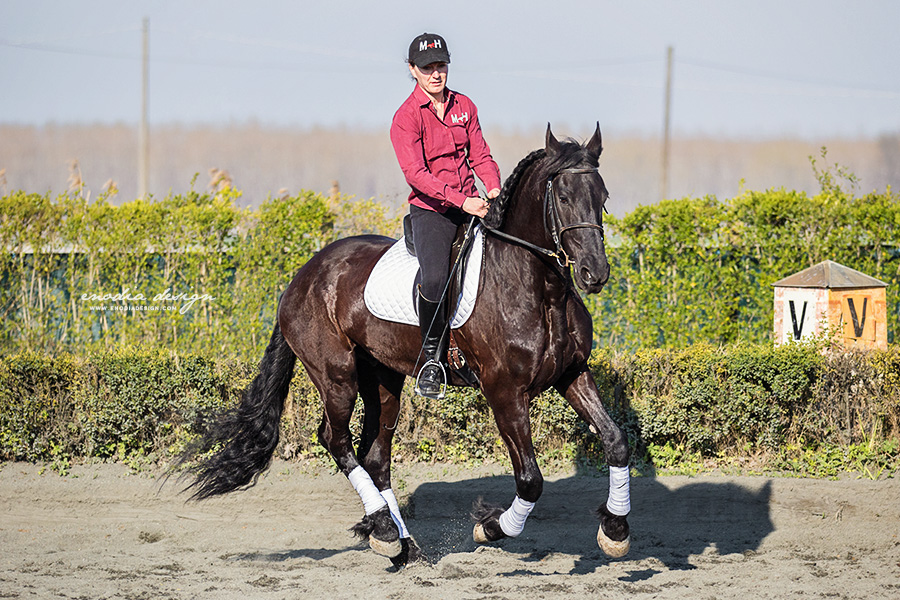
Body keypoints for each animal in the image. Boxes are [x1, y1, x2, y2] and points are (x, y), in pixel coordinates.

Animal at [184, 124, 632, 564]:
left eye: (603, 197)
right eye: (563, 197)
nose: (595, 273)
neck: (542, 289)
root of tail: (303, 275)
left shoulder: (572, 373)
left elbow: (615, 441)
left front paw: (615, 530)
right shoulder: (504, 390)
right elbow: (530, 480)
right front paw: (490, 527)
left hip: (383, 378)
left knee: (374, 457)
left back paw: (397, 541)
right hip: (336, 375)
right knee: (335, 439)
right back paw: (385, 529)